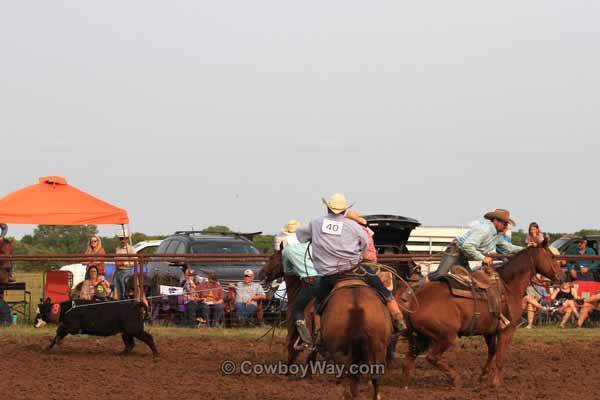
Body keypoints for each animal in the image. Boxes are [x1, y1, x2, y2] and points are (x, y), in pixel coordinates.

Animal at [400, 239, 564, 390]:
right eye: (551, 256)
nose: (562, 277)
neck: (508, 287)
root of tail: (413, 302)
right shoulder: (507, 330)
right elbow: (500, 356)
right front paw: (497, 383)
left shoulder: (489, 332)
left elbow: (492, 352)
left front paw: (483, 376)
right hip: (445, 337)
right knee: (431, 357)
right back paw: (455, 379)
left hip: (421, 337)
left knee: (409, 359)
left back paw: (406, 385)